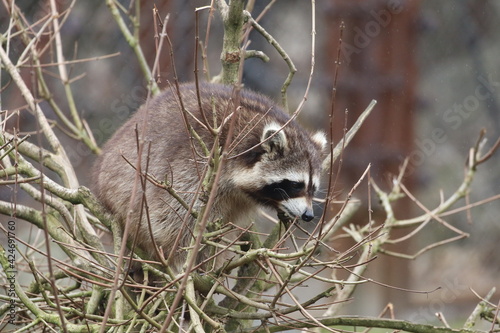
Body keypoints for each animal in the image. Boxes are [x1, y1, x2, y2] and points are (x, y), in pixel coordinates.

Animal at [93, 81, 328, 268]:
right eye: (295, 185)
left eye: (313, 188)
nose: (309, 215)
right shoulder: (197, 162)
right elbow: (174, 217)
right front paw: (184, 260)